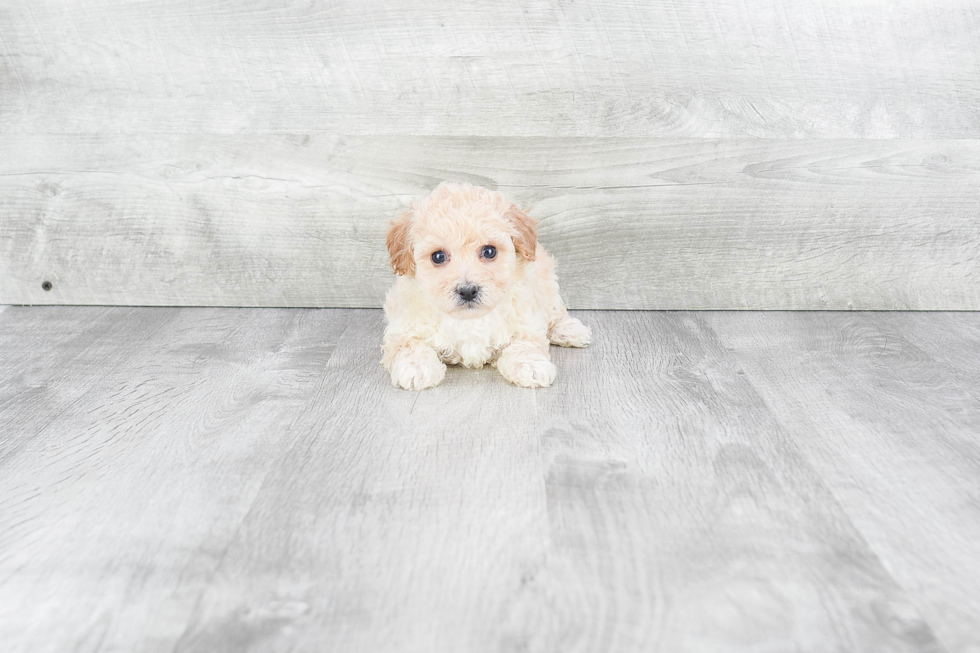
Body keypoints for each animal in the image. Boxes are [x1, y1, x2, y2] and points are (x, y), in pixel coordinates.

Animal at [378, 181, 584, 390]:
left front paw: (530, 365)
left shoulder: (526, 319)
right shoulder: (403, 326)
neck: (469, 319)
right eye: (438, 256)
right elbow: (409, 345)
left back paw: (570, 331)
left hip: (547, 281)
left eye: (489, 251)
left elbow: (525, 342)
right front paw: (416, 367)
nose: (468, 291)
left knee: (555, 311)